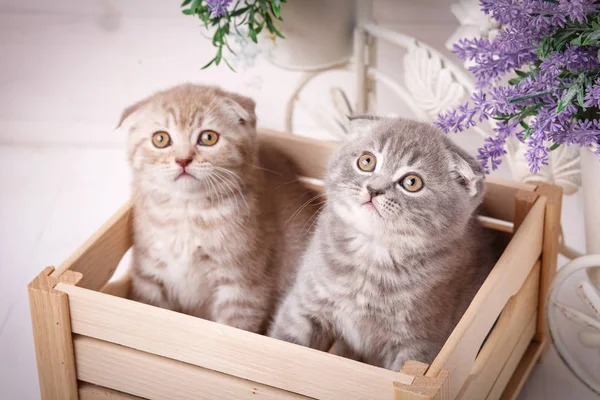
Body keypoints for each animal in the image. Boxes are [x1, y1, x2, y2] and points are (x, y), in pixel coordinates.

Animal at [121, 85, 316, 334]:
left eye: (208, 137)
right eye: (161, 139)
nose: (183, 160)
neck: (188, 215)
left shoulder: (243, 287)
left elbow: (232, 329)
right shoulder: (149, 276)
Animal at [270, 117, 494, 370]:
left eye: (412, 182)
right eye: (367, 161)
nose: (373, 189)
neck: (372, 253)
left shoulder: (419, 345)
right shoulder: (305, 306)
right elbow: (285, 342)